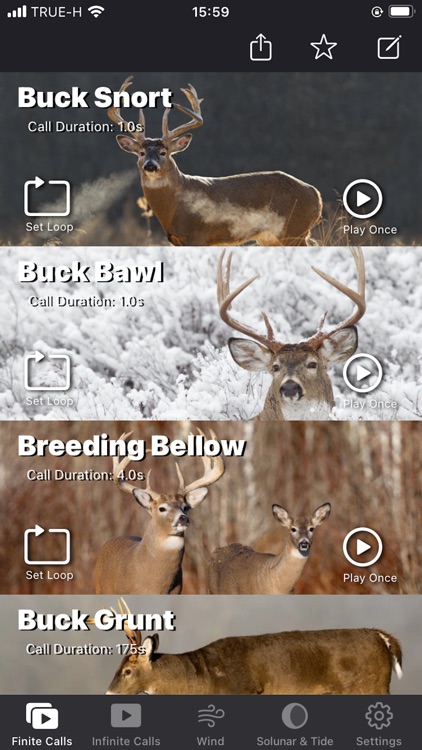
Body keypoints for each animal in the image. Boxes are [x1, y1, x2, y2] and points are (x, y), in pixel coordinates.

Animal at [108, 76, 322, 246]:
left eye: (163, 152)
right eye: (141, 153)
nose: (150, 166)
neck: (176, 204)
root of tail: (316, 195)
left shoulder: (197, 236)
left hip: (294, 230)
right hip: (271, 237)